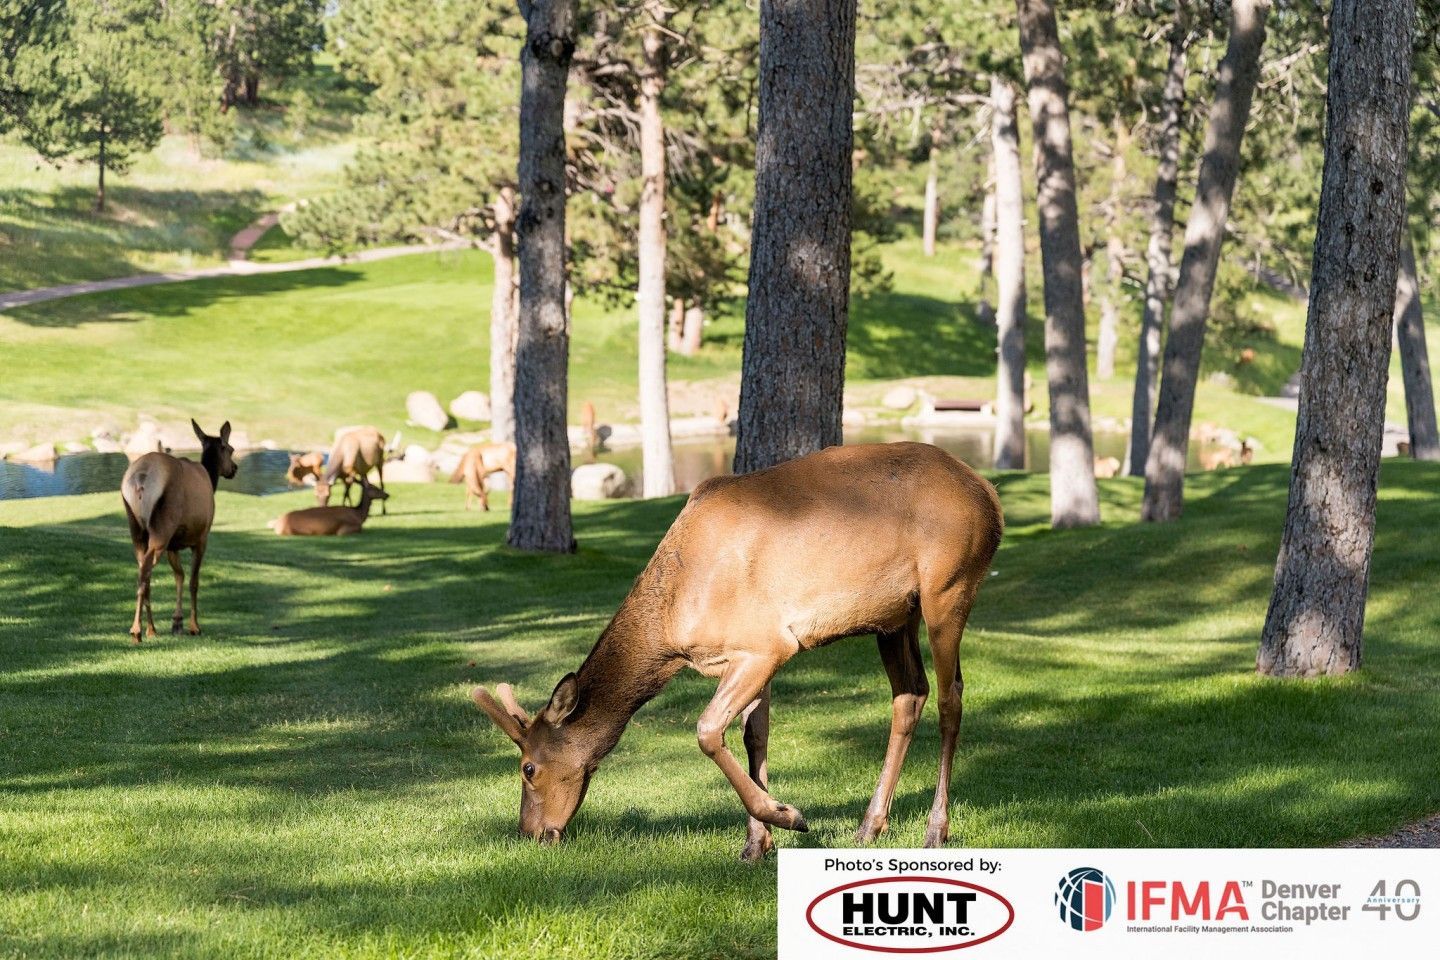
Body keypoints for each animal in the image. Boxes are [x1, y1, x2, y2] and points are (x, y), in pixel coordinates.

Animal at [120, 420, 237, 642]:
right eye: (231, 449)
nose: (234, 468)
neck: (211, 479)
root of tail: (141, 478)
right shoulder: (201, 538)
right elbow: (193, 581)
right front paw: (194, 626)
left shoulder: (173, 545)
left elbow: (179, 576)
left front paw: (177, 622)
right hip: (162, 527)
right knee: (145, 571)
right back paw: (137, 630)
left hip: (136, 529)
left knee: (143, 572)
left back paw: (151, 629)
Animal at [471, 442, 1002, 861]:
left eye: (528, 767)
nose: (531, 833)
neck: (673, 628)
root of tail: (990, 497)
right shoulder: (752, 653)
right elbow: (753, 737)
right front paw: (757, 843)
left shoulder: (767, 645)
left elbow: (708, 730)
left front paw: (787, 816)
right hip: (895, 617)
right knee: (909, 694)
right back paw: (871, 824)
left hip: (948, 588)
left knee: (951, 697)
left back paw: (936, 829)